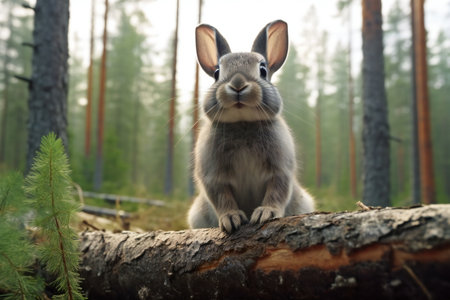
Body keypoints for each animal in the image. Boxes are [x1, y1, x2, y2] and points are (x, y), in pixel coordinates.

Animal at [188, 19, 314, 233]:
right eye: (217, 73)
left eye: (263, 70)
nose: (238, 84)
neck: (243, 123)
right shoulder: (213, 176)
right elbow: (222, 197)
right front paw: (231, 218)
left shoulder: (280, 170)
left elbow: (276, 191)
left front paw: (265, 213)